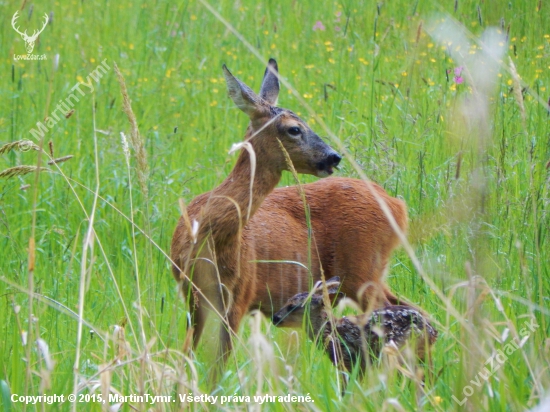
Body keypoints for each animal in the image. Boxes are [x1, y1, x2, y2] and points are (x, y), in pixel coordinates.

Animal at [172, 60, 342, 364]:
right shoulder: (192, 292)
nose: (334, 156)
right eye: (294, 129)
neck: (211, 236)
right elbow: (190, 354)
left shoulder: (239, 294)